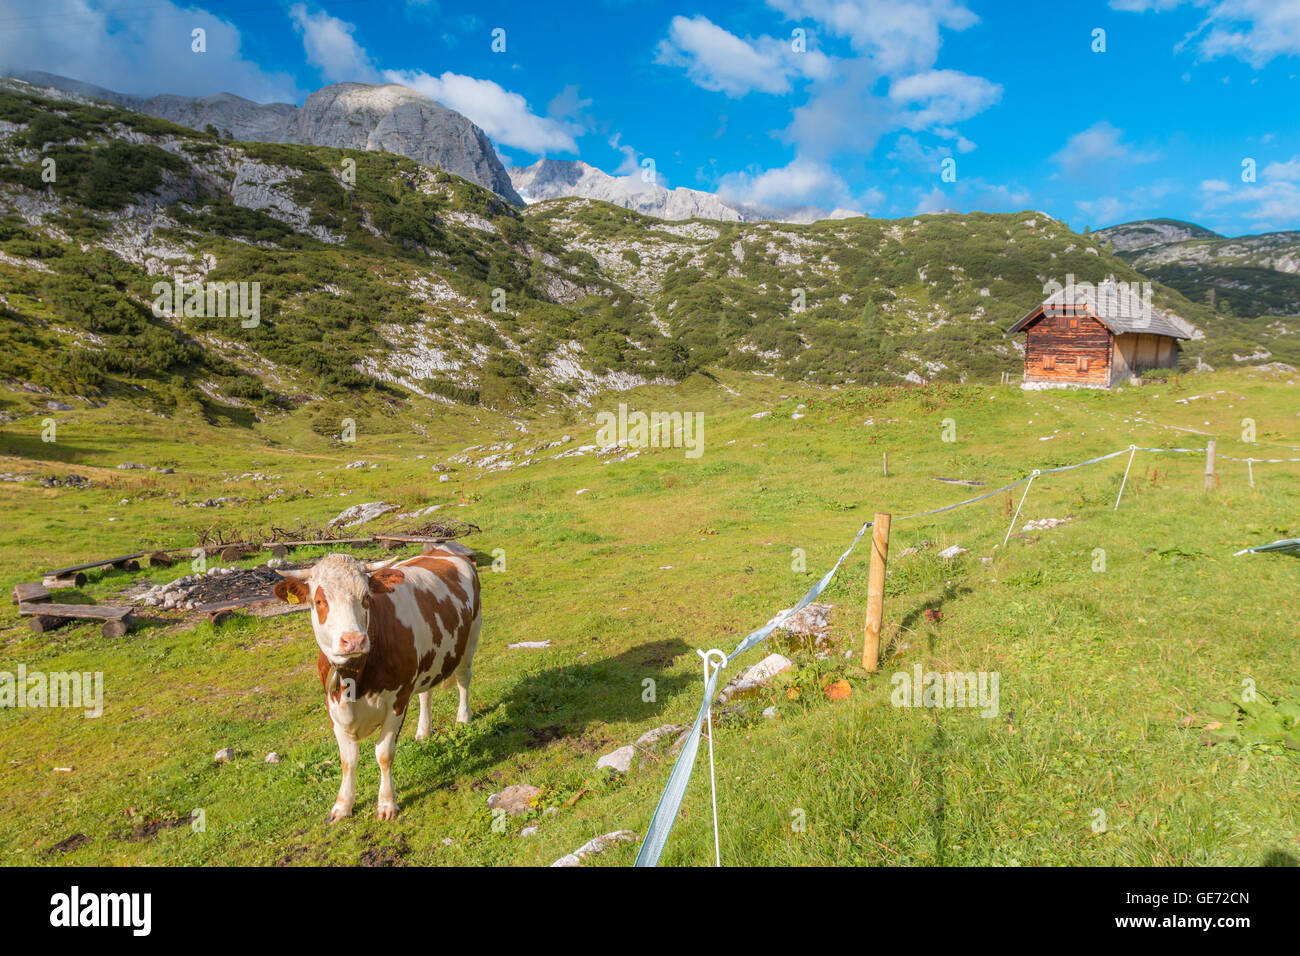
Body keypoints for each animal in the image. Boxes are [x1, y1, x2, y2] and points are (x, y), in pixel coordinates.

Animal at [273, 548, 482, 821]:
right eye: (319, 601)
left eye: (366, 598)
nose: (353, 640)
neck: (356, 681)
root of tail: (441, 550)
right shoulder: (333, 706)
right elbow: (348, 759)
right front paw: (342, 806)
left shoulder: (398, 700)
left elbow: (384, 754)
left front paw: (387, 804)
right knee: (425, 694)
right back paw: (423, 731)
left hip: (472, 635)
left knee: (463, 679)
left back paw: (463, 718)